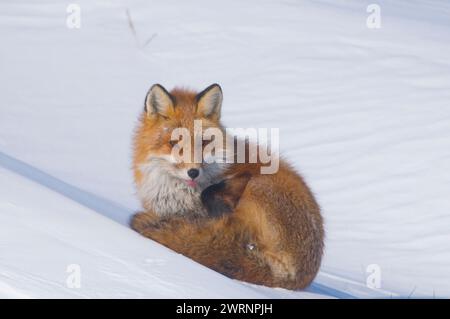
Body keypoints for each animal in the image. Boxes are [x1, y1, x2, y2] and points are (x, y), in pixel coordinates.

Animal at [130, 84, 324, 292]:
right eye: (174, 143)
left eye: (204, 143)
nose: (193, 172)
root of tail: (293, 280)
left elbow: (209, 197)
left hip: (258, 185)